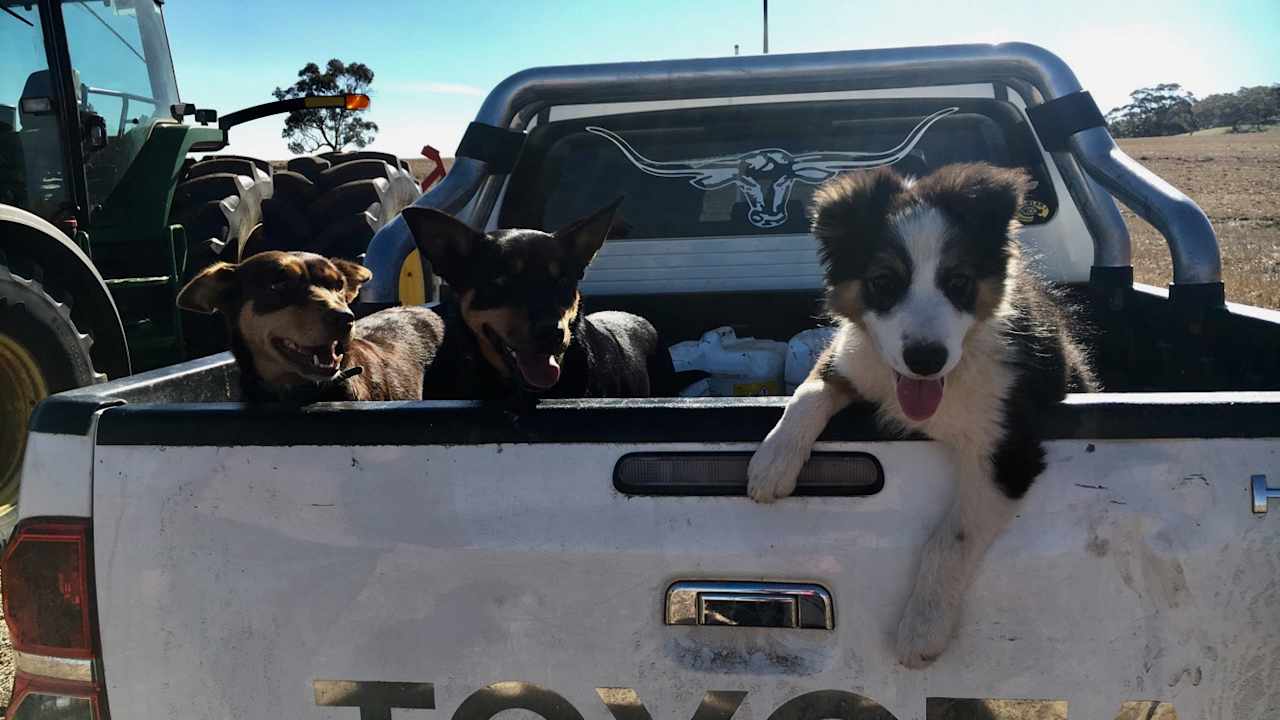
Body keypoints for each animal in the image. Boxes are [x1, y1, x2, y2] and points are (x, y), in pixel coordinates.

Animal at [747, 162, 1100, 666]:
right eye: (883, 282)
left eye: (958, 282)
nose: (925, 360)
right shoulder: (854, 359)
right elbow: (809, 389)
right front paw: (773, 461)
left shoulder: (1008, 450)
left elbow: (951, 538)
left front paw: (923, 625)